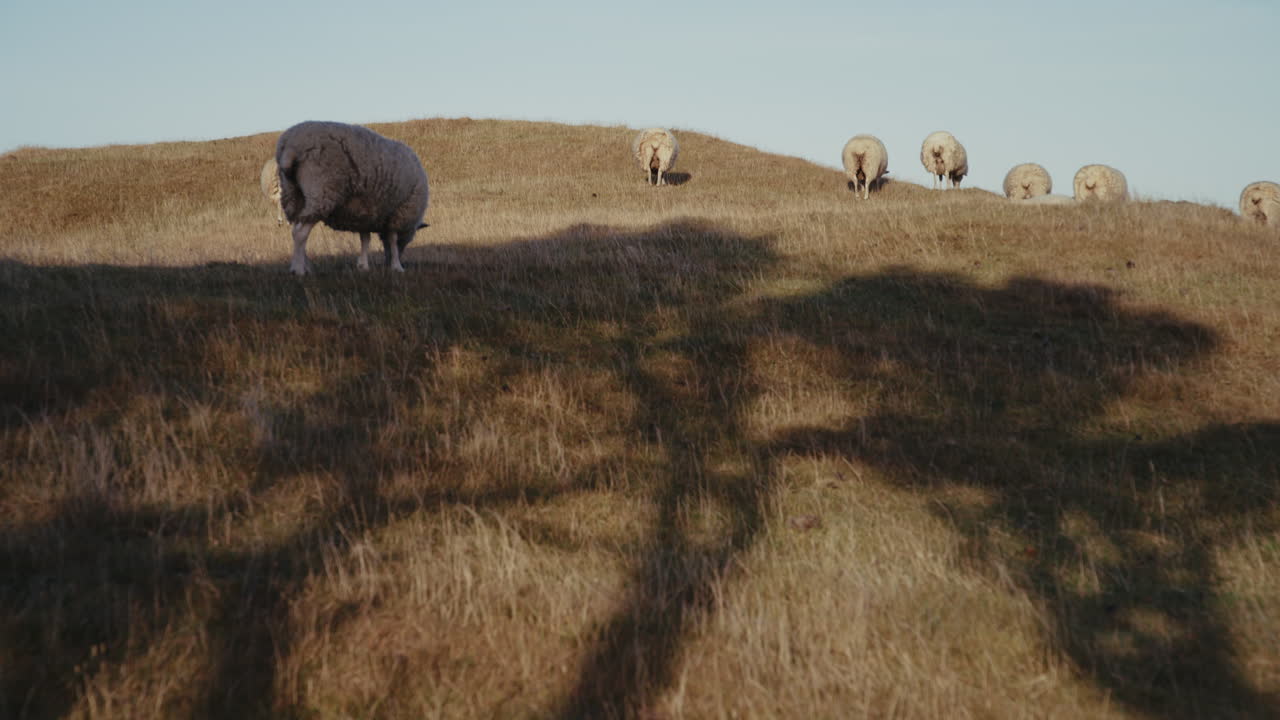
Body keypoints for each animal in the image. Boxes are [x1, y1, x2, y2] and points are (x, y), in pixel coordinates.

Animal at [275, 121, 429, 275]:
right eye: (409, 240)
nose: (387, 261)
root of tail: (290, 145)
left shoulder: (365, 214)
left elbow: (365, 239)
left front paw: (363, 265)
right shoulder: (398, 212)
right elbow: (392, 239)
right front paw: (397, 266)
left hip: (293, 195)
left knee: (296, 229)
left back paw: (304, 266)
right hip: (320, 192)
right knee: (300, 233)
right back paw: (299, 269)